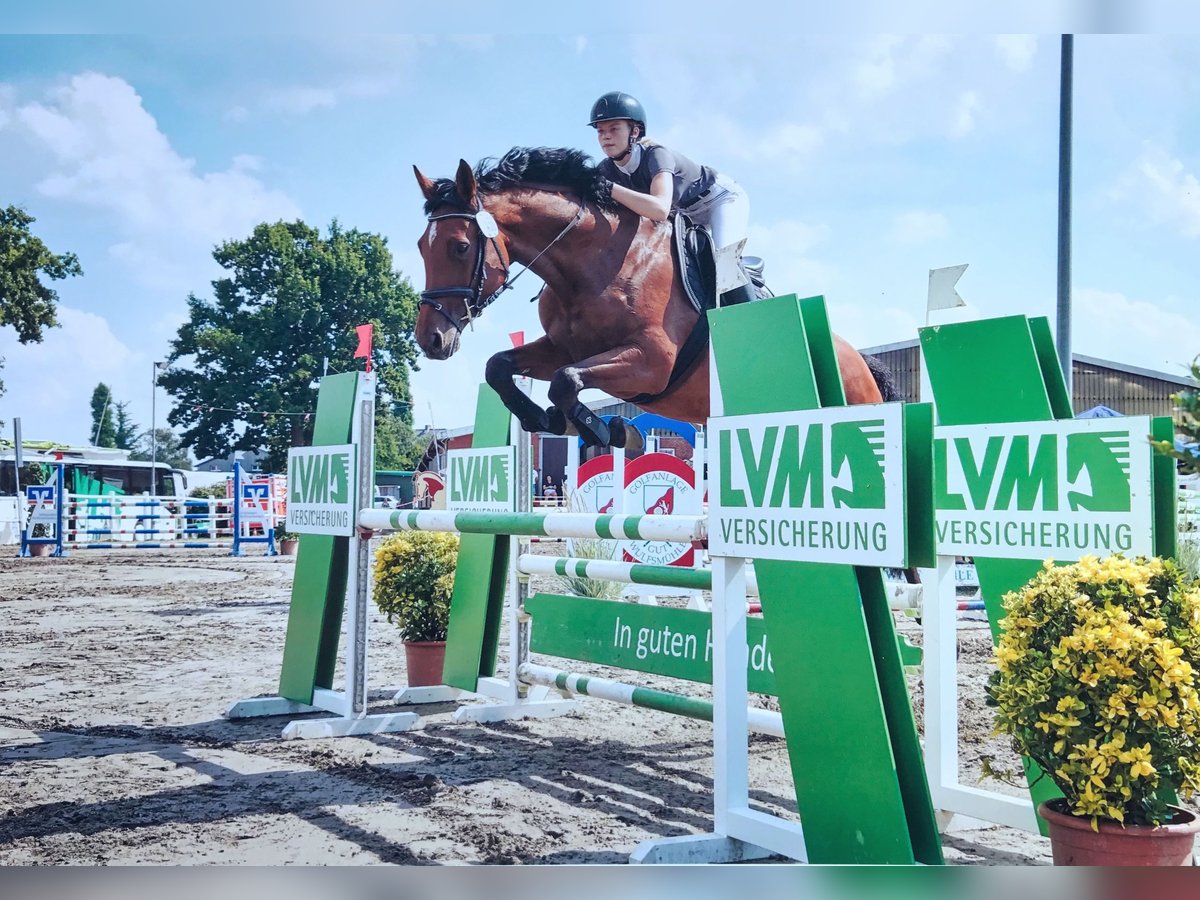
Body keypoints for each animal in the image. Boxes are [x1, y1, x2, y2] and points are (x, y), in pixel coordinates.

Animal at [412, 147, 892, 451]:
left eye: (459, 246)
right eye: (420, 246)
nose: (430, 340)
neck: (593, 266)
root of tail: (861, 361)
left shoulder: (653, 361)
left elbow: (567, 381)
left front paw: (611, 433)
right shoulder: (563, 347)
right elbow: (500, 367)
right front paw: (546, 420)